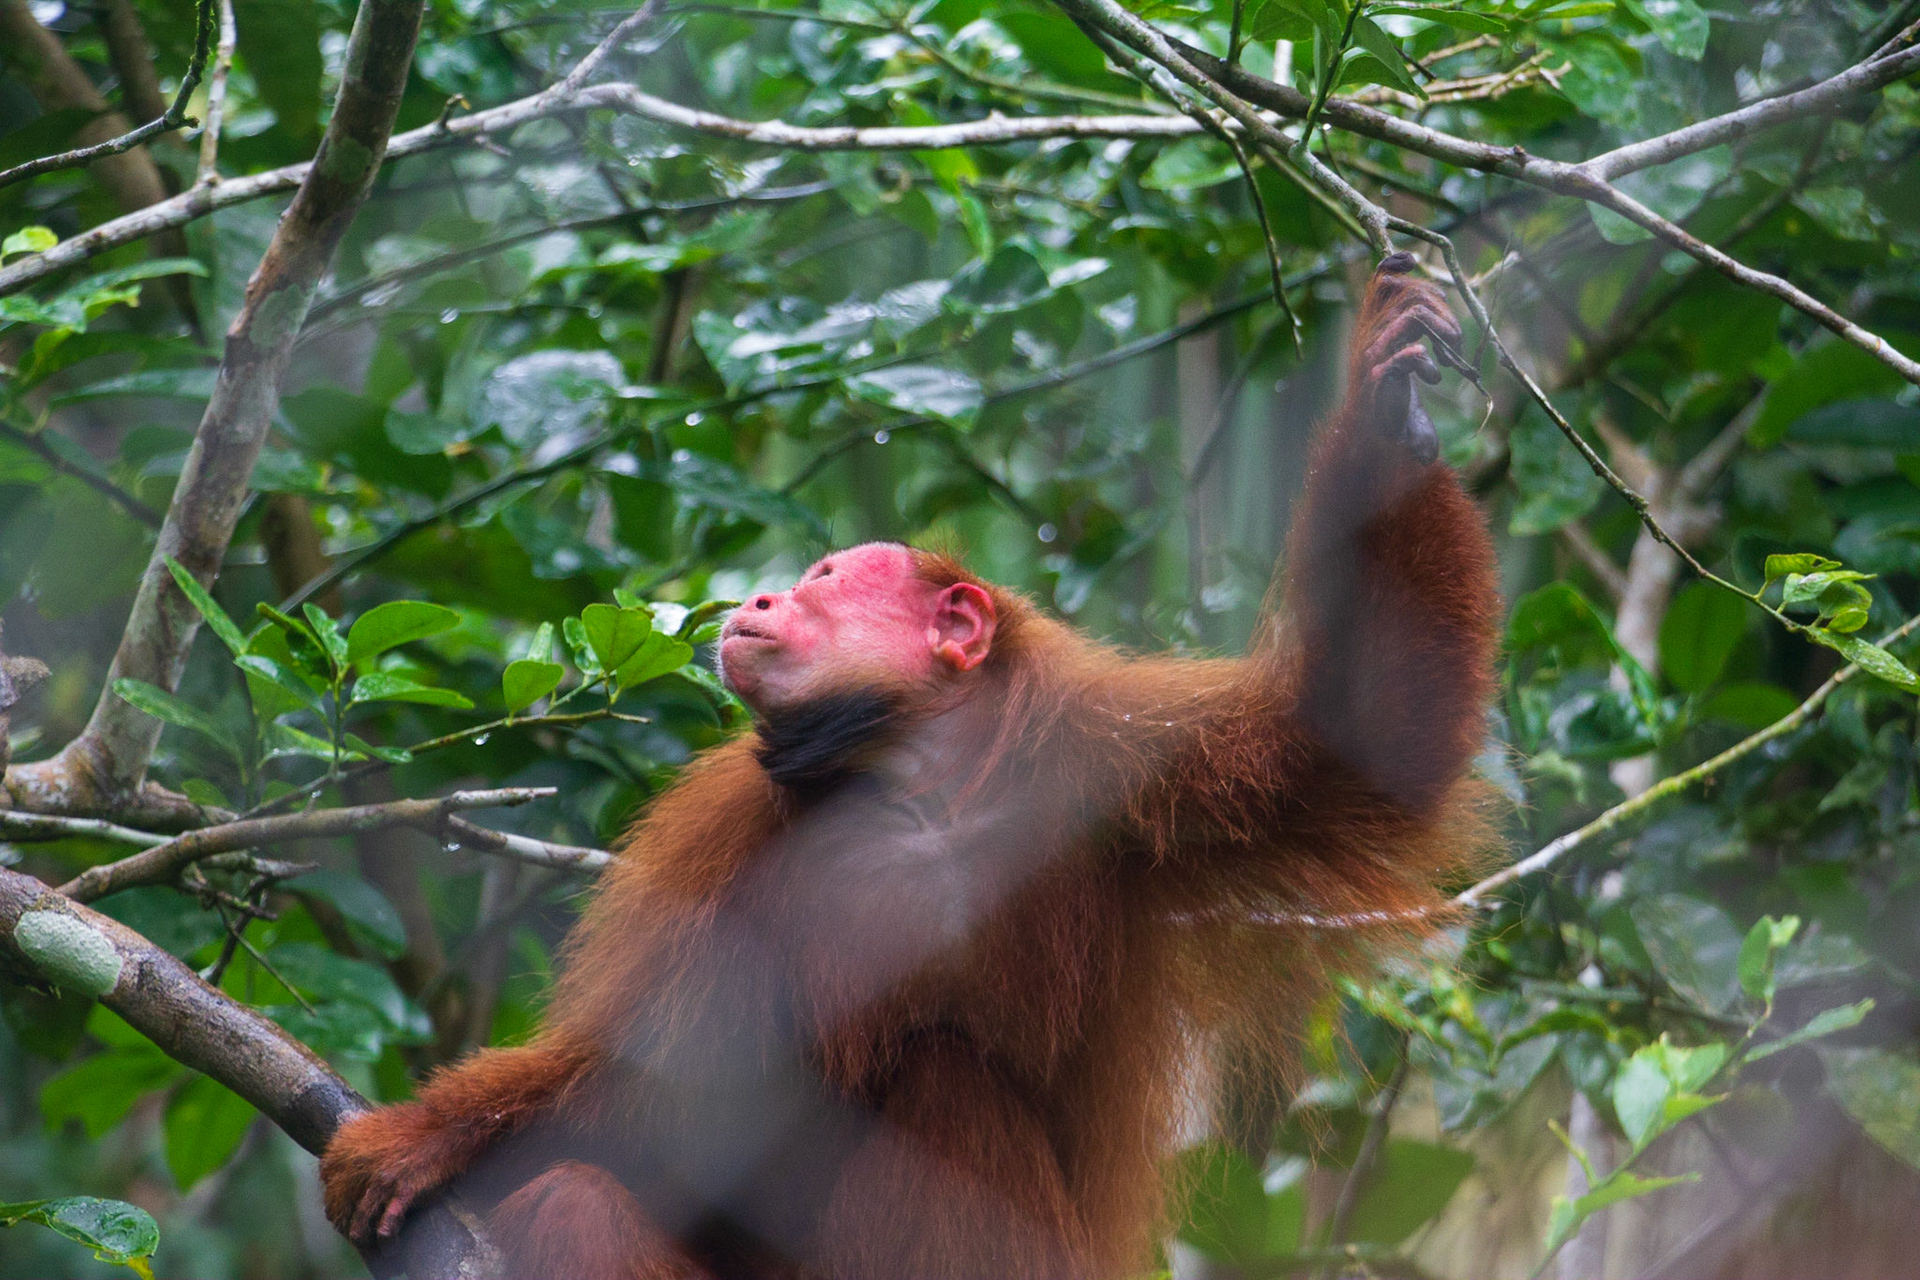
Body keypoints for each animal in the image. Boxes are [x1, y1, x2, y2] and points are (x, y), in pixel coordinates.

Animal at [319, 252, 1500, 1280]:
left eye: (825, 579)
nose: (756, 598)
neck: (927, 790)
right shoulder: (734, 829)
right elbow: (685, 1096)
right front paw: (439, 1134)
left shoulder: (1128, 764)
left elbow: (1369, 746)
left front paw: (1389, 414)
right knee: (580, 1201)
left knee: (944, 1080)